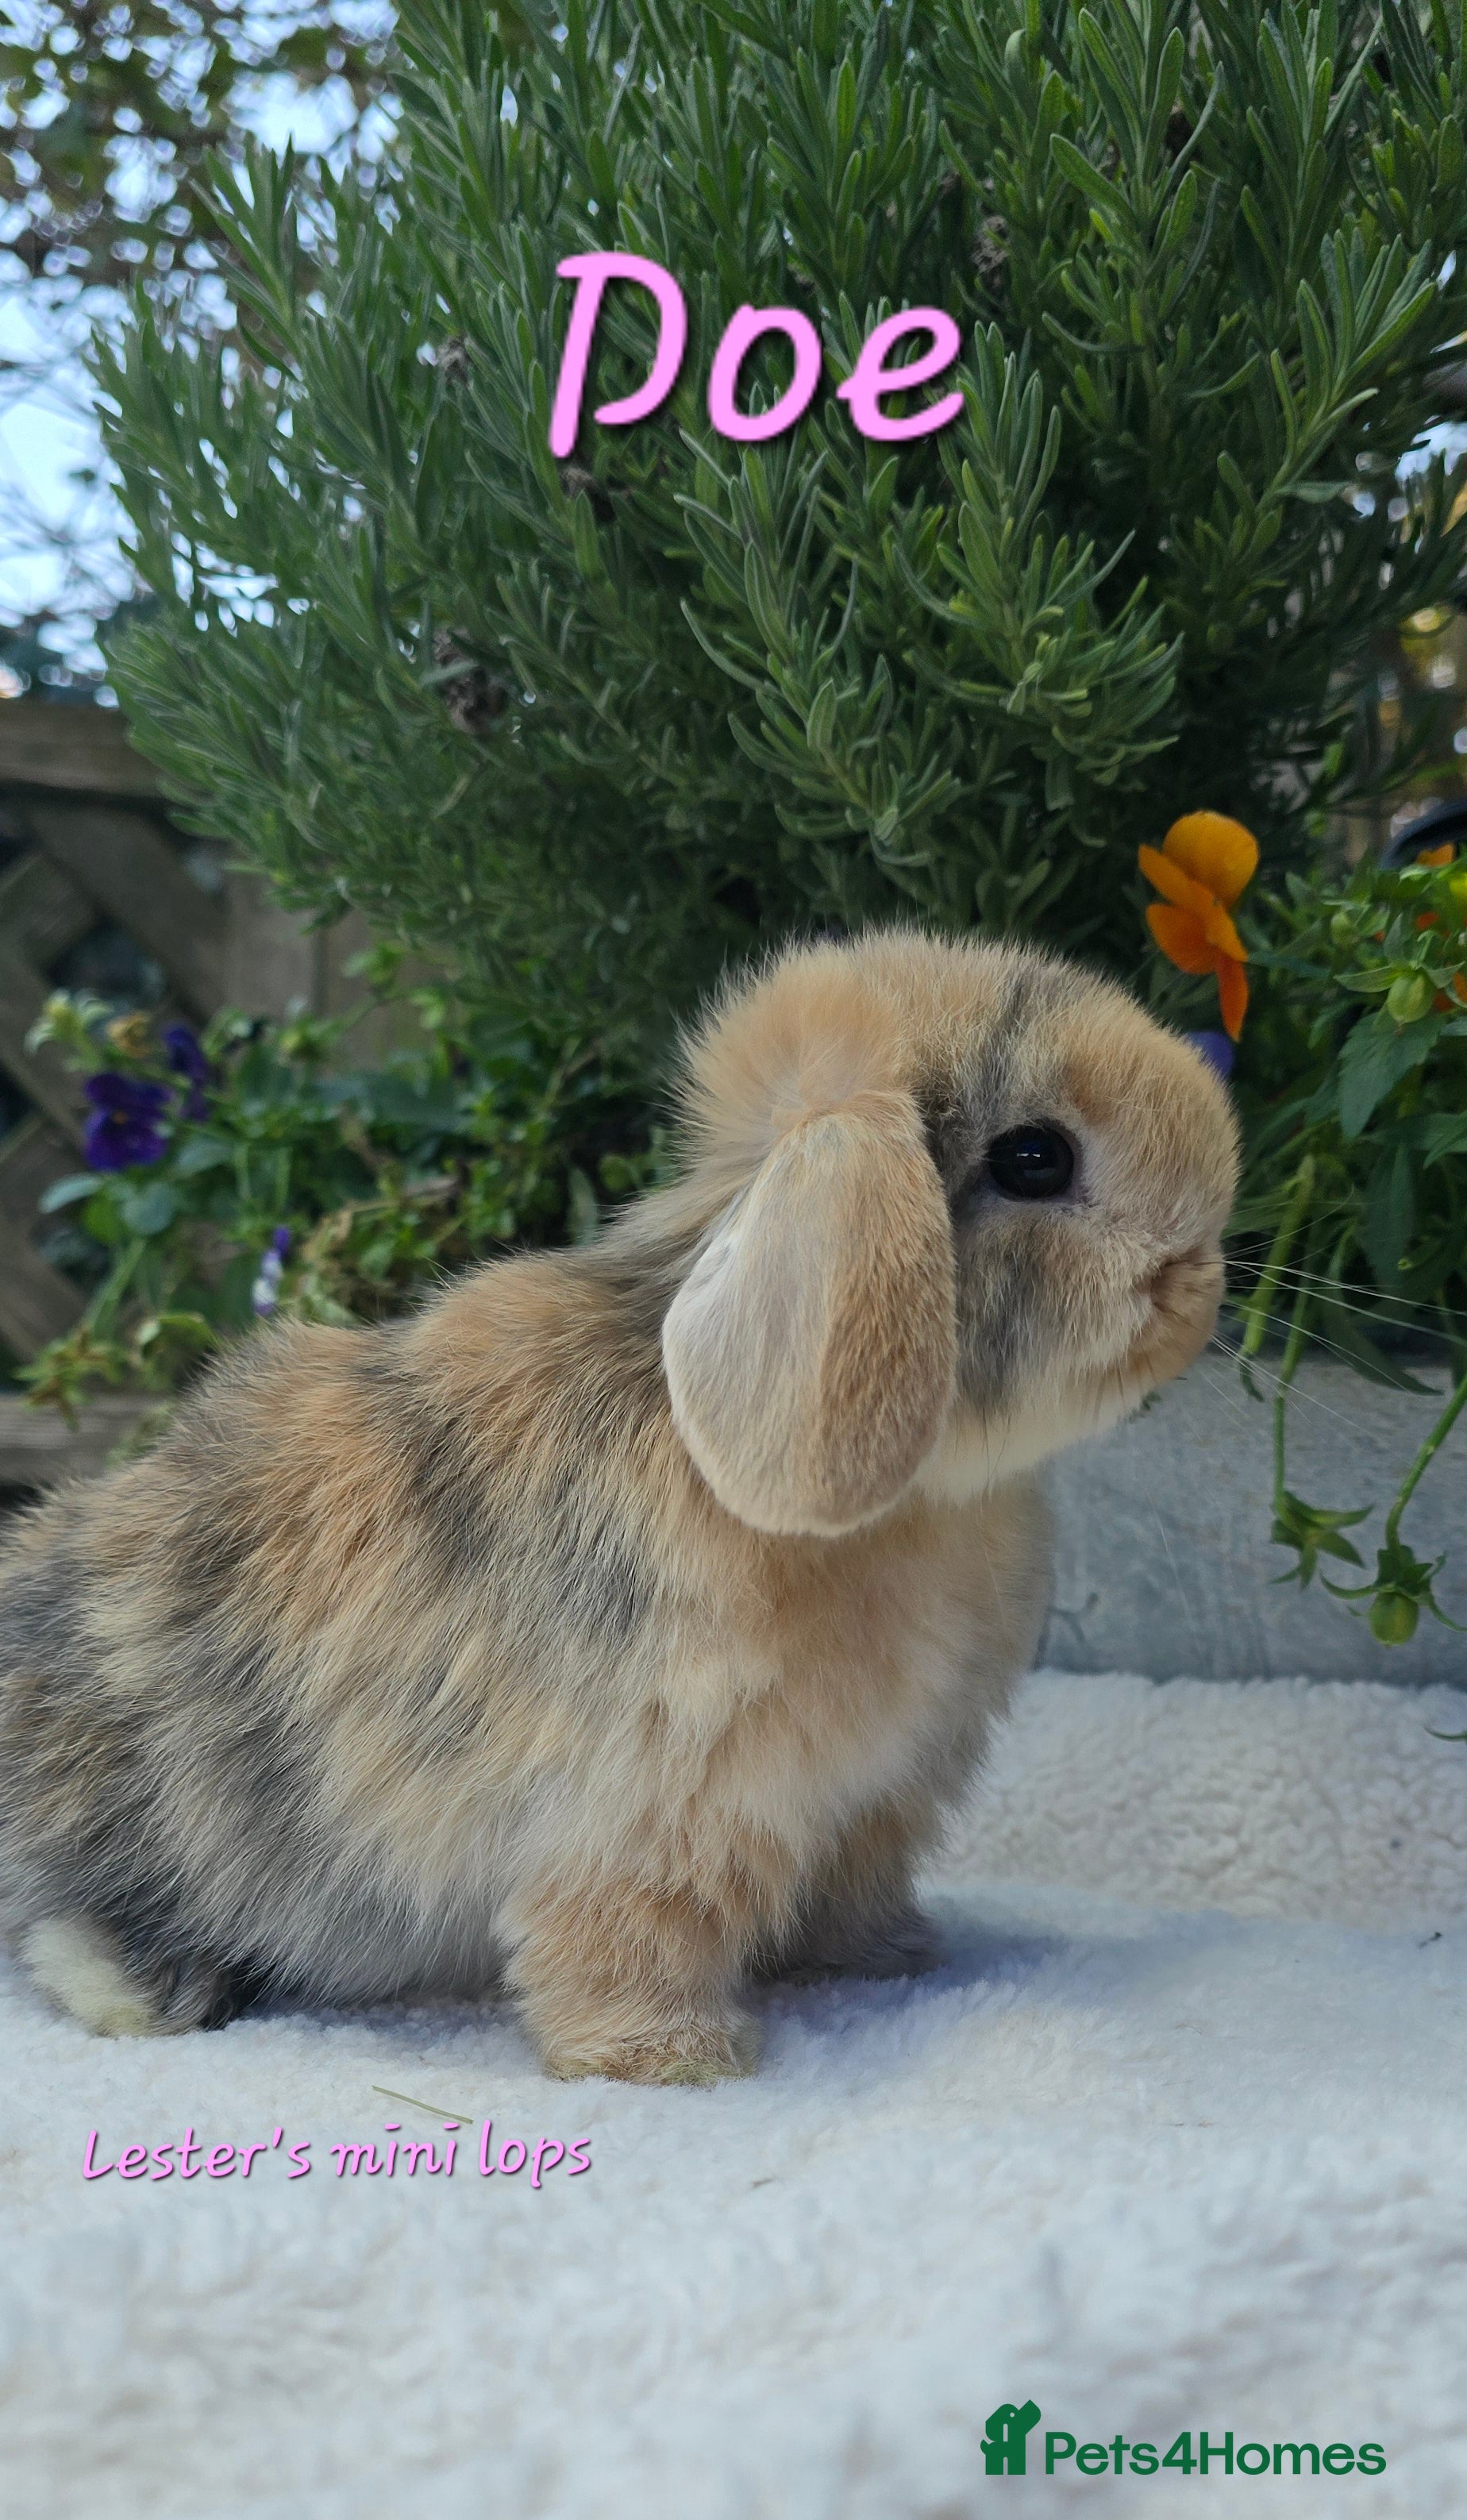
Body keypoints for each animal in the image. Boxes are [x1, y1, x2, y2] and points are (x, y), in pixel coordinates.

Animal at [0, 927, 1237, 2083]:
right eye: (1035, 1157)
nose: (1201, 1273)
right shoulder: (648, 1812)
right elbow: (626, 1935)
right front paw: (669, 2058)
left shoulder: (873, 1806)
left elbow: (852, 1891)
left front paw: (889, 1960)